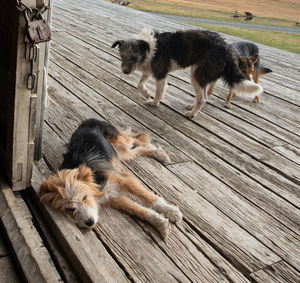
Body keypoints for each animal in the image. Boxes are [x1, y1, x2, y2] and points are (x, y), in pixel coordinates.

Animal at [40, 118, 182, 239]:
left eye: (84, 198)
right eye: (69, 209)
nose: (90, 222)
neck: (95, 183)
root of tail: (88, 120)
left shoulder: (122, 179)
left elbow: (148, 196)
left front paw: (171, 211)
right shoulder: (112, 198)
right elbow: (139, 210)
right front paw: (161, 224)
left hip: (121, 143)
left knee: (136, 141)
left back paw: (158, 153)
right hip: (119, 152)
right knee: (137, 149)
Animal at [112, 28, 262, 118]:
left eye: (134, 58)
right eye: (122, 56)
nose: (125, 72)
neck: (149, 47)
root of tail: (226, 47)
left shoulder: (160, 74)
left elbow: (159, 92)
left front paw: (154, 102)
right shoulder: (149, 70)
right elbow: (140, 84)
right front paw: (146, 93)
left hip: (196, 75)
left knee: (202, 98)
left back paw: (192, 113)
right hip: (201, 75)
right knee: (203, 96)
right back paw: (192, 106)